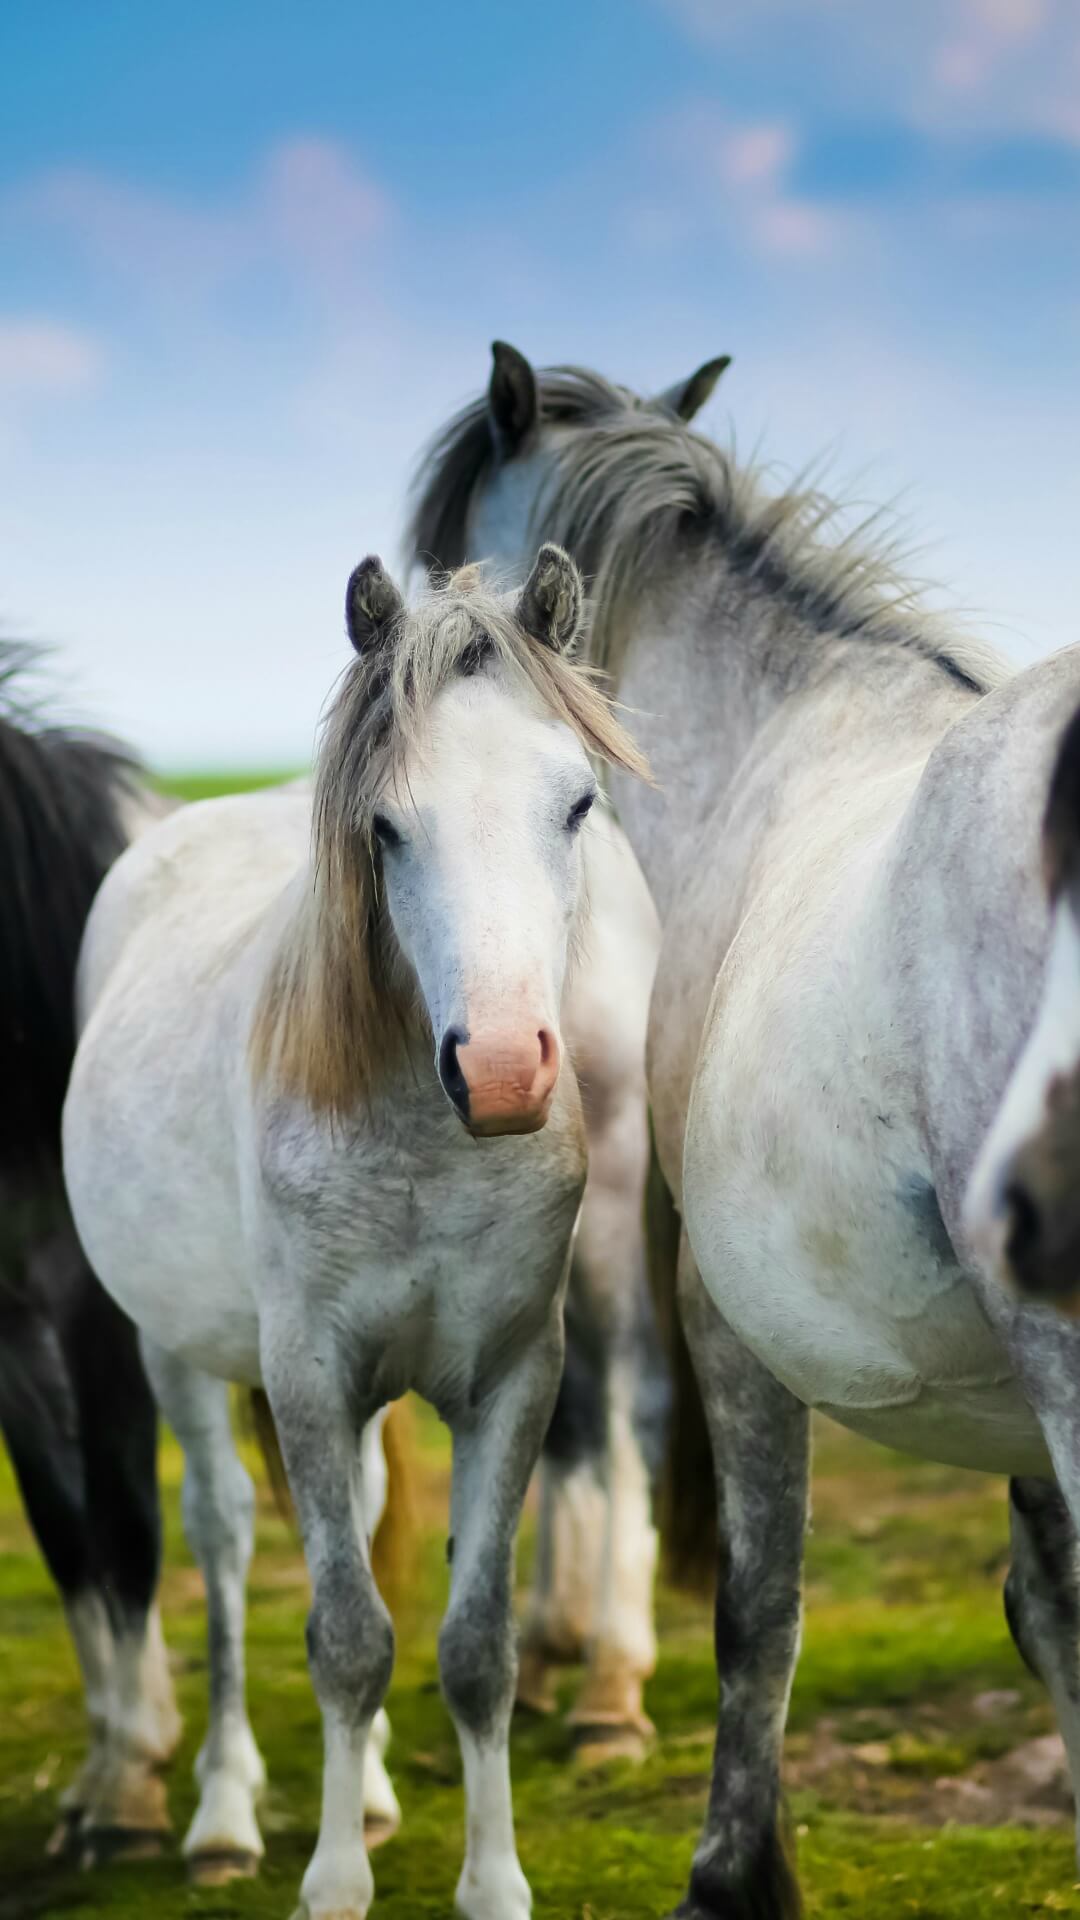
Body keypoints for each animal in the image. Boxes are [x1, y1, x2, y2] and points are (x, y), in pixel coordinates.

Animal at [62, 549, 647, 1920]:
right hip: (178, 1353)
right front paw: (331, 1883)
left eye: (577, 804)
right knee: (223, 1541)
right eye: (385, 827)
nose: (503, 1071)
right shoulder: (310, 1379)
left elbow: (473, 1646)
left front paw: (493, 1884)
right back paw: (223, 1815)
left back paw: (371, 1791)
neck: (425, 1142)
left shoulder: (511, 1378)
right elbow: (344, 1636)